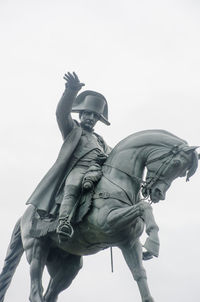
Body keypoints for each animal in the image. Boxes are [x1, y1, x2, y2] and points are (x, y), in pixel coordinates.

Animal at [0, 130, 198, 302]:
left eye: (182, 172)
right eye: (176, 164)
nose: (158, 194)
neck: (118, 180)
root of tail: (25, 216)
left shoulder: (129, 242)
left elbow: (140, 274)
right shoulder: (108, 222)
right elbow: (144, 207)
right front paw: (153, 243)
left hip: (68, 266)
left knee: (50, 294)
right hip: (36, 249)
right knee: (35, 290)